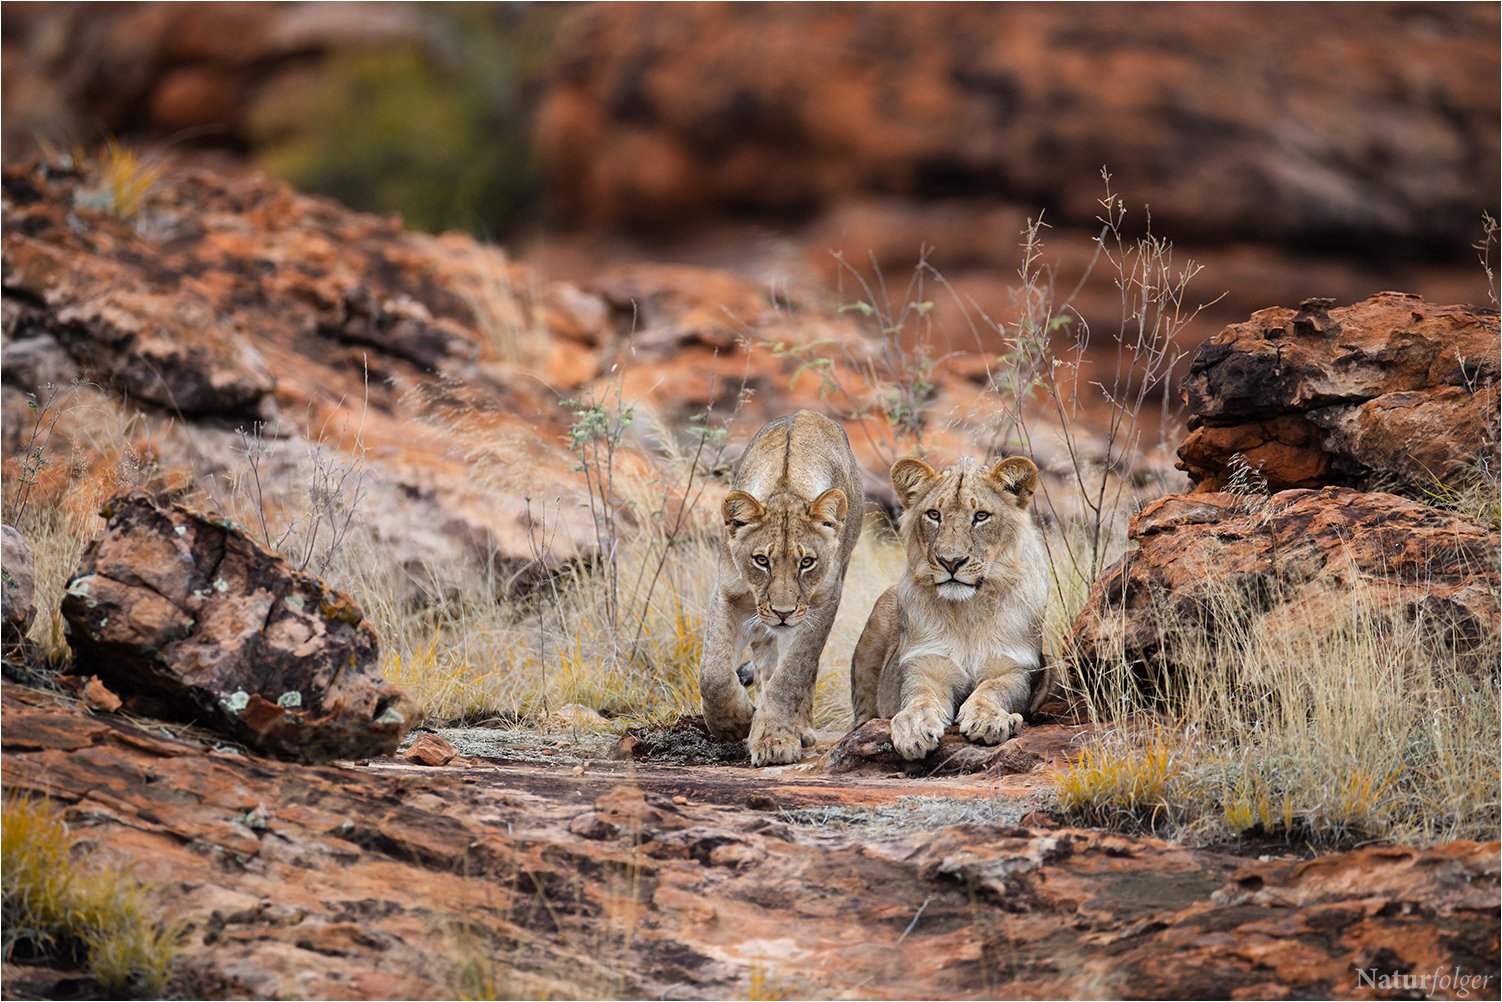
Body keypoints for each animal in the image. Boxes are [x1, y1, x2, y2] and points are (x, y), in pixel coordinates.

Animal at [699, 410, 865, 766]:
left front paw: (774, 738)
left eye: (807, 562)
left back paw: (799, 727)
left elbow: (792, 674)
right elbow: (713, 672)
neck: (785, 486)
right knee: (764, 663)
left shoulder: (823, 603)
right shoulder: (730, 593)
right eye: (761, 560)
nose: (783, 613)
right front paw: (735, 723)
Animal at [849, 455, 1055, 760]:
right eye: (934, 515)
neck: (967, 611)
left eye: (981, 516)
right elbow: (920, 696)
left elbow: (994, 688)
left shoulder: (1014, 667)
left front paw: (988, 720)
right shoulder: (925, 665)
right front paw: (914, 727)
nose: (951, 561)